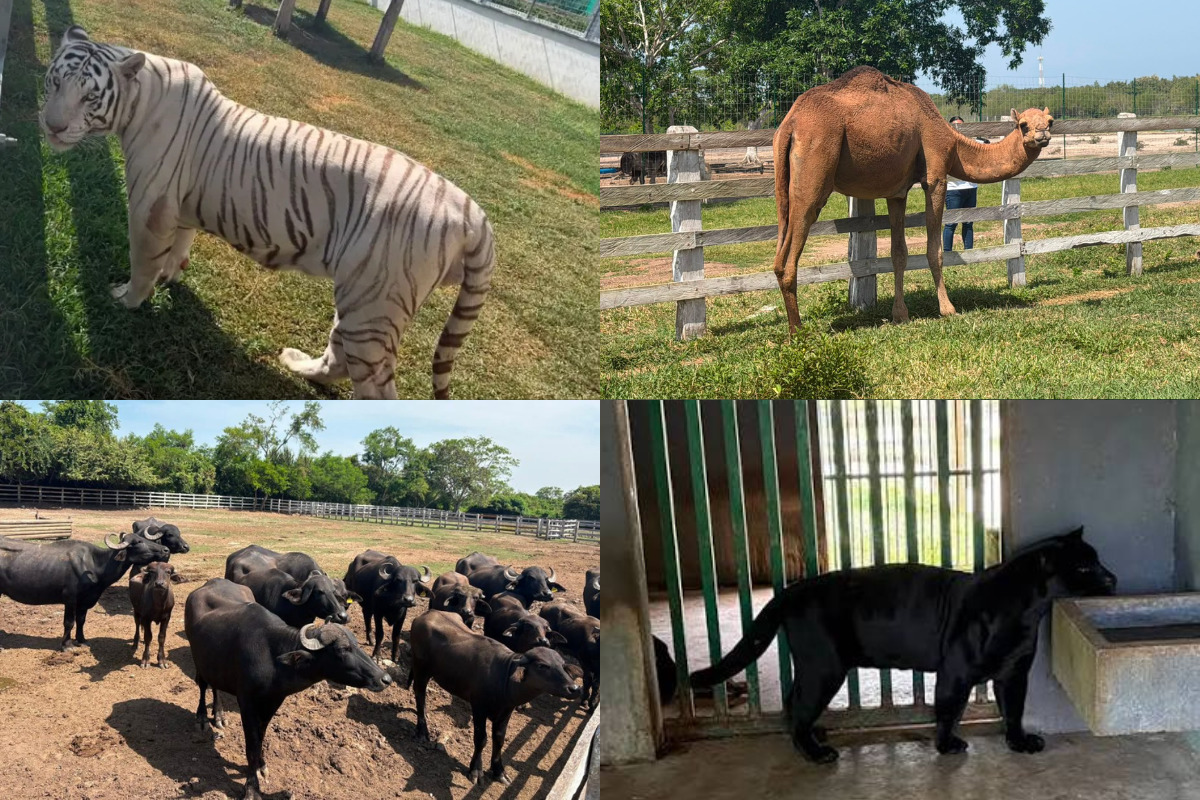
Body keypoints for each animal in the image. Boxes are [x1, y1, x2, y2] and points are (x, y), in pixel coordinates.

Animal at [38, 25, 494, 400]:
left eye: (89, 96)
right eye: (54, 82)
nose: (51, 127)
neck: (140, 99)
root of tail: (473, 213)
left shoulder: (149, 206)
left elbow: (142, 262)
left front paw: (128, 299)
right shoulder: (180, 206)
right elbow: (180, 245)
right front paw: (173, 276)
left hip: (375, 303)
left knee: (374, 385)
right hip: (361, 298)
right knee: (338, 355)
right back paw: (298, 364)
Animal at [772, 66, 1053, 332]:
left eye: (1049, 121)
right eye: (1023, 125)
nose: (1042, 136)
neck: (953, 142)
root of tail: (790, 124)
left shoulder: (897, 192)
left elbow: (899, 253)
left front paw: (900, 315)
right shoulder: (936, 175)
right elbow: (934, 249)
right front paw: (947, 308)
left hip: (783, 182)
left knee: (780, 249)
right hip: (816, 160)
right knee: (796, 240)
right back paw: (798, 332)